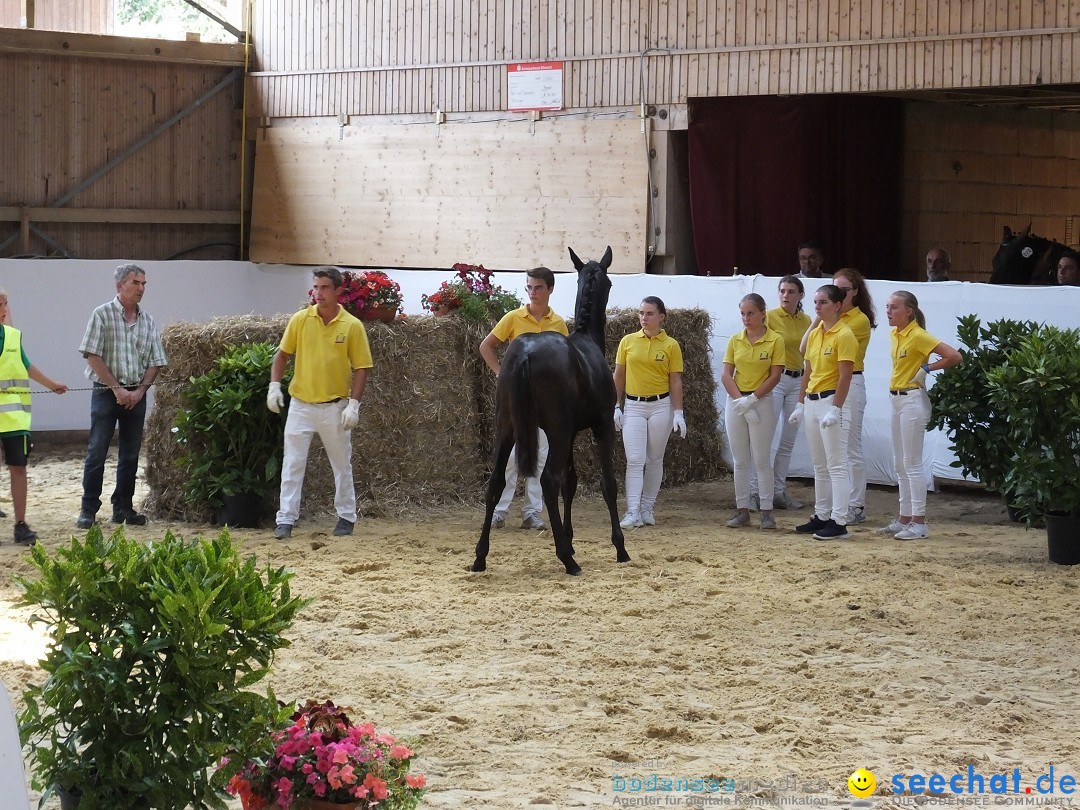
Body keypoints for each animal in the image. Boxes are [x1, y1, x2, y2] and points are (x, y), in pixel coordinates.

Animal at [468, 247, 630, 578]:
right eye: (609, 283)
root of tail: (526, 353)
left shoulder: (570, 434)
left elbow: (571, 483)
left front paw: (570, 538)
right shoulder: (602, 427)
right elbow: (607, 484)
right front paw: (619, 548)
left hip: (509, 429)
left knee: (496, 482)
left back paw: (480, 557)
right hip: (556, 430)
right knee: (548, 480)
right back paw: (568, 561)